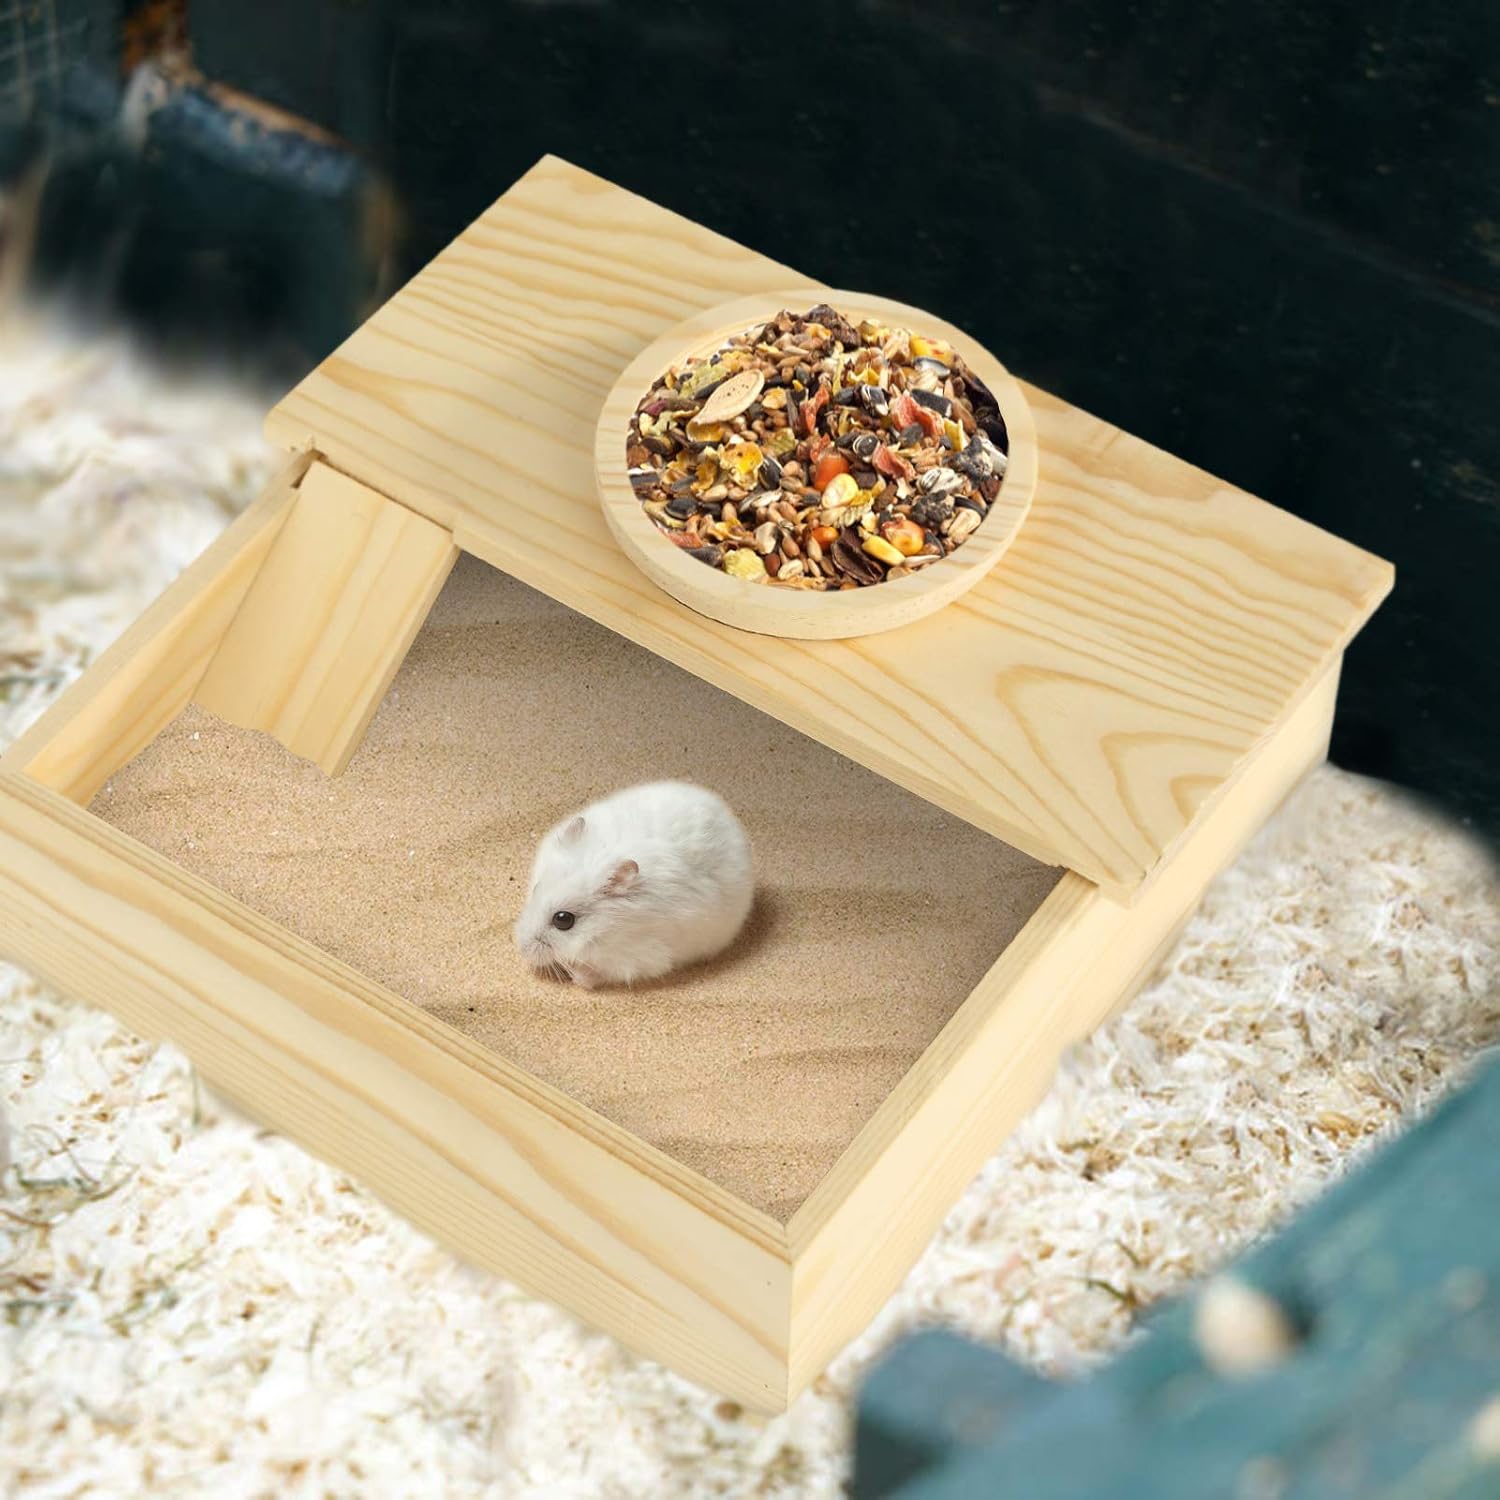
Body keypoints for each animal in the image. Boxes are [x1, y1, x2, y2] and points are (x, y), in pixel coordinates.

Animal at [514, 780, 753, 989]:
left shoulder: (637, 959)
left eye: (563, 920)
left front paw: (578, 976)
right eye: (536, 888)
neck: (608, 928)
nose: (522, 949)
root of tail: (726, 813)